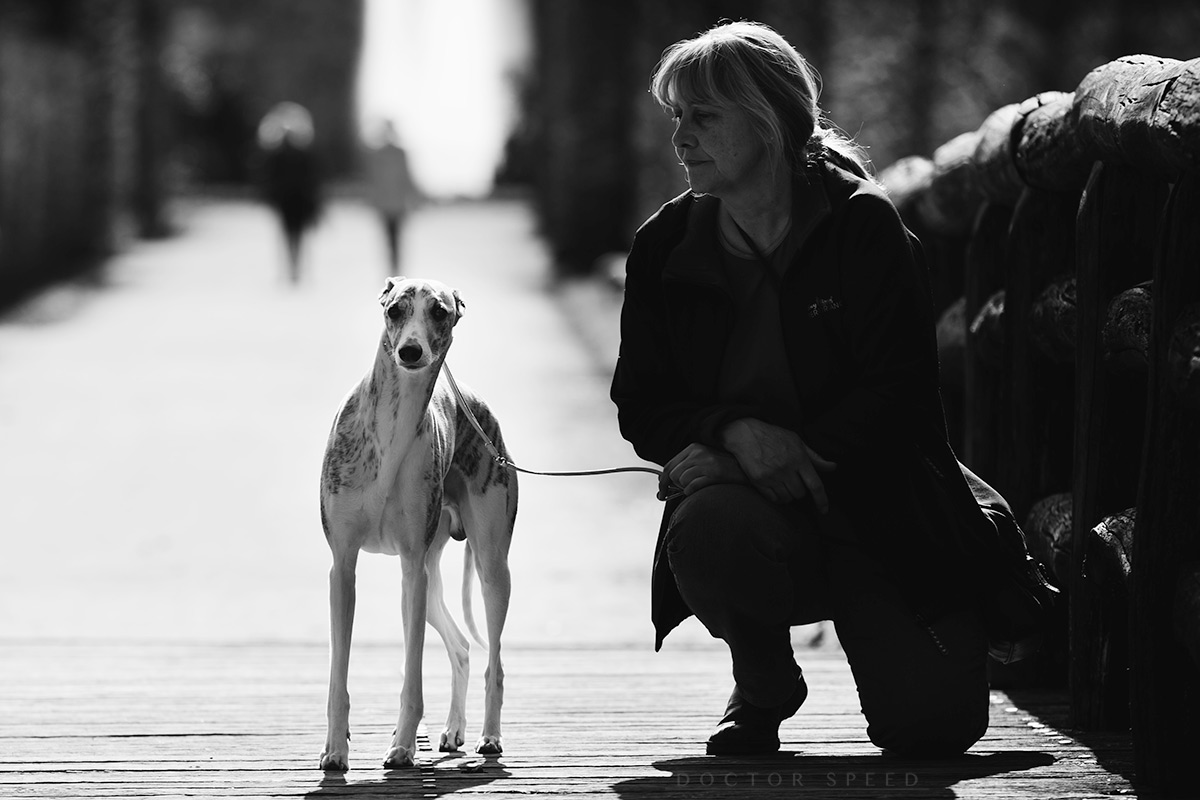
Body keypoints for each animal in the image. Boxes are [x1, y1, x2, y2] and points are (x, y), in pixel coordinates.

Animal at [321, 275, 518, 767]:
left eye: (440, 312)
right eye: (394, 309)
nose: (410, 351)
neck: (392, 428)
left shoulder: (411, 565)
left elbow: (413, 674)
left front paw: (403, 746)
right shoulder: (343, 566)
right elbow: (338, 675)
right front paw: (335, 750)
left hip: (488, 568)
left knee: (493, 661)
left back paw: (488, 736)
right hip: (427, 581)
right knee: (462, 647)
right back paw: (453, 730)